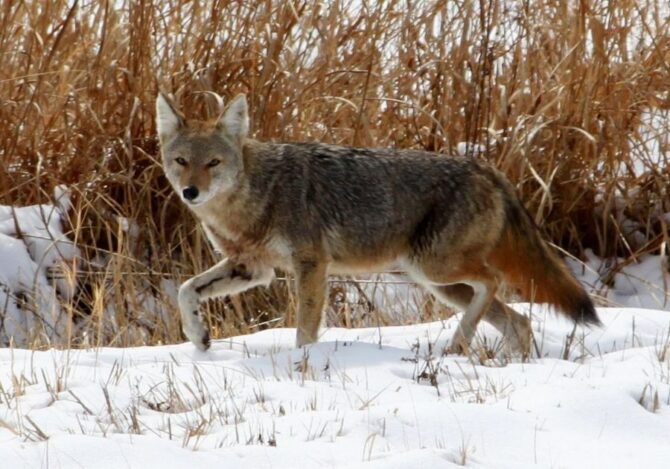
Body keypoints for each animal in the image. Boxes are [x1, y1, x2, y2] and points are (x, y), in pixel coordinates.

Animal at [155, 92, 599, 355]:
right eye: (181, 161)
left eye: (213, 163)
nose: (190, 192)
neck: (254, 196)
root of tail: (486, 169)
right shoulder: (253, 268)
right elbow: (186, 290)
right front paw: (199, 337)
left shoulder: (310, 265)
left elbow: (305, 329)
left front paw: (302, 365)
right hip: (440, 284)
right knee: (517, 320)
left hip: (436, 270)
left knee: (493, 282)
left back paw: (456, 346)